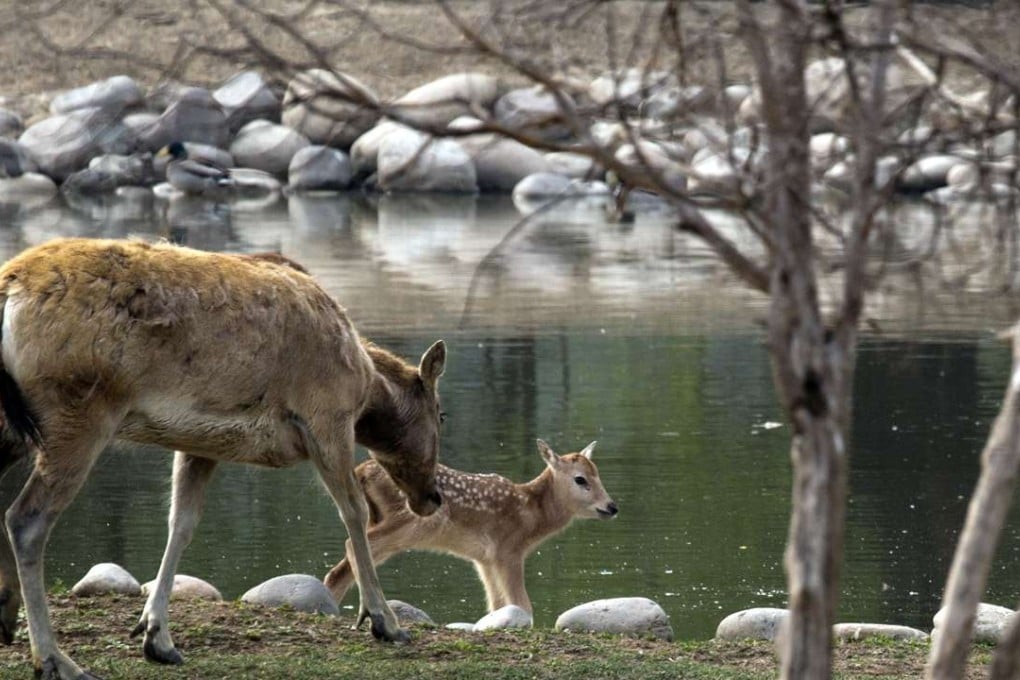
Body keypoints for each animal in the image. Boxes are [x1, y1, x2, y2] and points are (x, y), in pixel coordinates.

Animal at [0, 237, 448, 680]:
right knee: (25, 519)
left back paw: (10, 618)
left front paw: (156, 636)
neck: (366, 385)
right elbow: (354, 511)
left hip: (15, 426)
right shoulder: (326, 418)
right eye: (441, 414)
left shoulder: (199, 443)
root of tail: (10, 291)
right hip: (78, 412)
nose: (433, 497)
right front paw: (385, 622)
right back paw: (55, 659)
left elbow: (181, 523)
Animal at [324, 439, 618, 615]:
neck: (530, 514)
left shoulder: (484, 560)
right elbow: (522, 605)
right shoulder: (508, 552)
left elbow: (496, 606)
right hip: (408, 522)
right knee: (351, 549)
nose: (612, 506)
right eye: (580, 479)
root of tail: (361, 471)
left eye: (598, 474)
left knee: (340, 569)